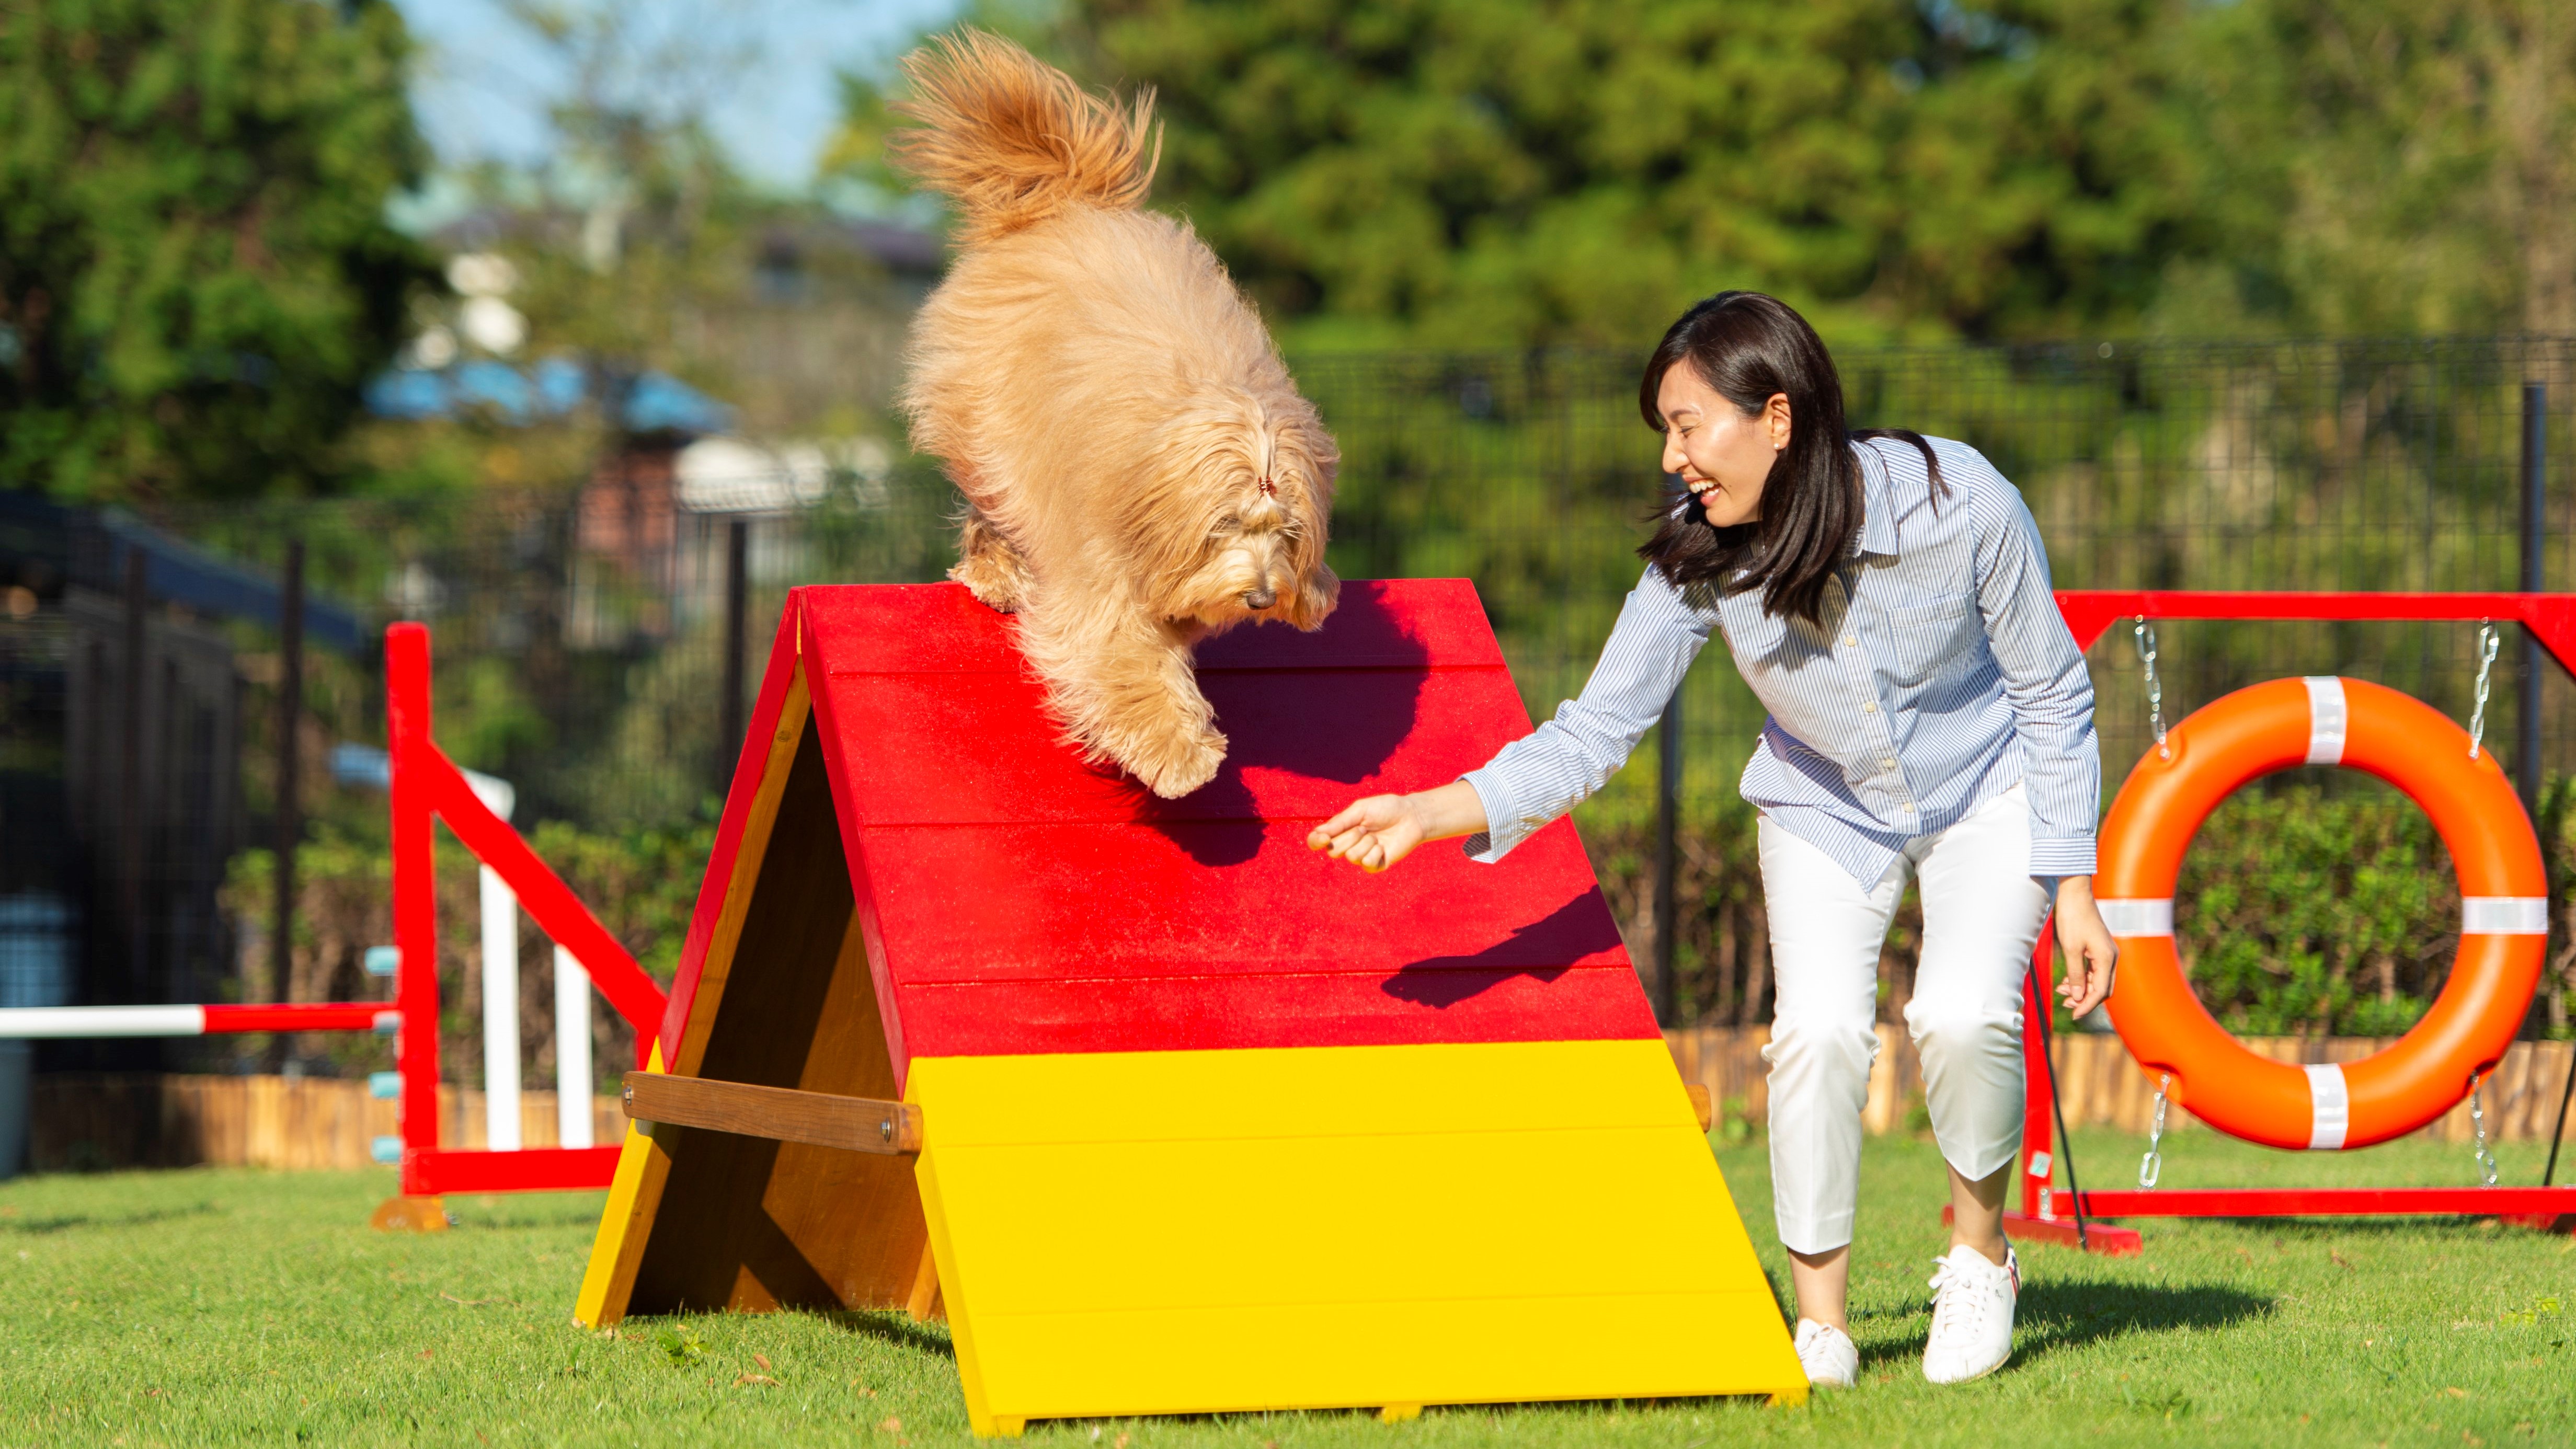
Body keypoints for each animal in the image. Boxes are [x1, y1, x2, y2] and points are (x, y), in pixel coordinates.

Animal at [891, 28, 1339, 798]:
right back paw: (995, 575)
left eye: (1285, 533)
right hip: (990, 430)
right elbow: (1123, 654)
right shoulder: (1099, 567)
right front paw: (1180, 756)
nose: (1259, 598)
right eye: (1227, 525)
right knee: (989, 508)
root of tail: (1064, 198)